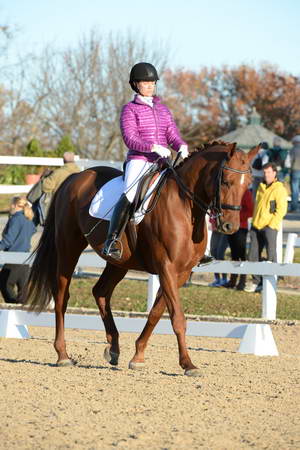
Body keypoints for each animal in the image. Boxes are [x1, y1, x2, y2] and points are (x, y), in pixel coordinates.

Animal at [26, 142, 258, 376]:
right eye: (226, 181)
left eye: (248, 184)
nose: (230, 226)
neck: (185, 207)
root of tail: (75, 177)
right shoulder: (167, 268)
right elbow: (177, 318)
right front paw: (188, 364)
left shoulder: (181, 273)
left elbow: (156, 313)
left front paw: (138, 356)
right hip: (69, 248)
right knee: (62, 297)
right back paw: (63, 355)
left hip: (120, 262)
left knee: (100, 292)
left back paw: (113, 348)